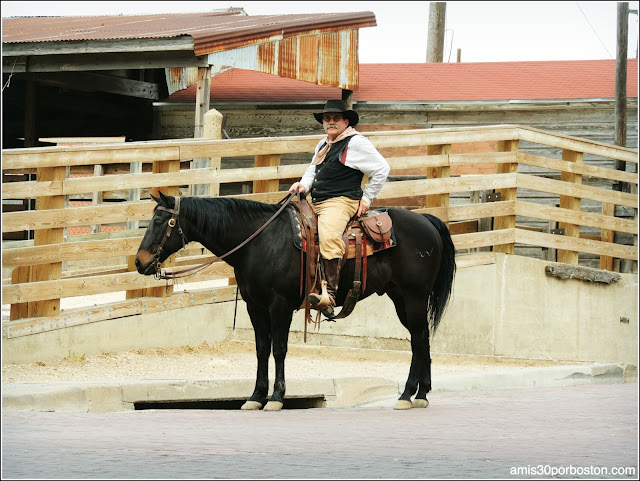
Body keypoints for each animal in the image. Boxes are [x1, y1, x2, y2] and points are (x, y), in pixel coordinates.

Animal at [135, 193, 456, 410]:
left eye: (160, 221)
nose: (139, 262)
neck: (259, 242)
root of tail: (426, 220)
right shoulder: (255, 306)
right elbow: (261, 349)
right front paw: (256, 396)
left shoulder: (279, 305)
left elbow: (279, 348)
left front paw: (277, 397)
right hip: (400, 297)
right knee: (421, 339)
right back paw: (420, 394)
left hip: (414, 297)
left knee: (419, 339)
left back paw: (408, 394)